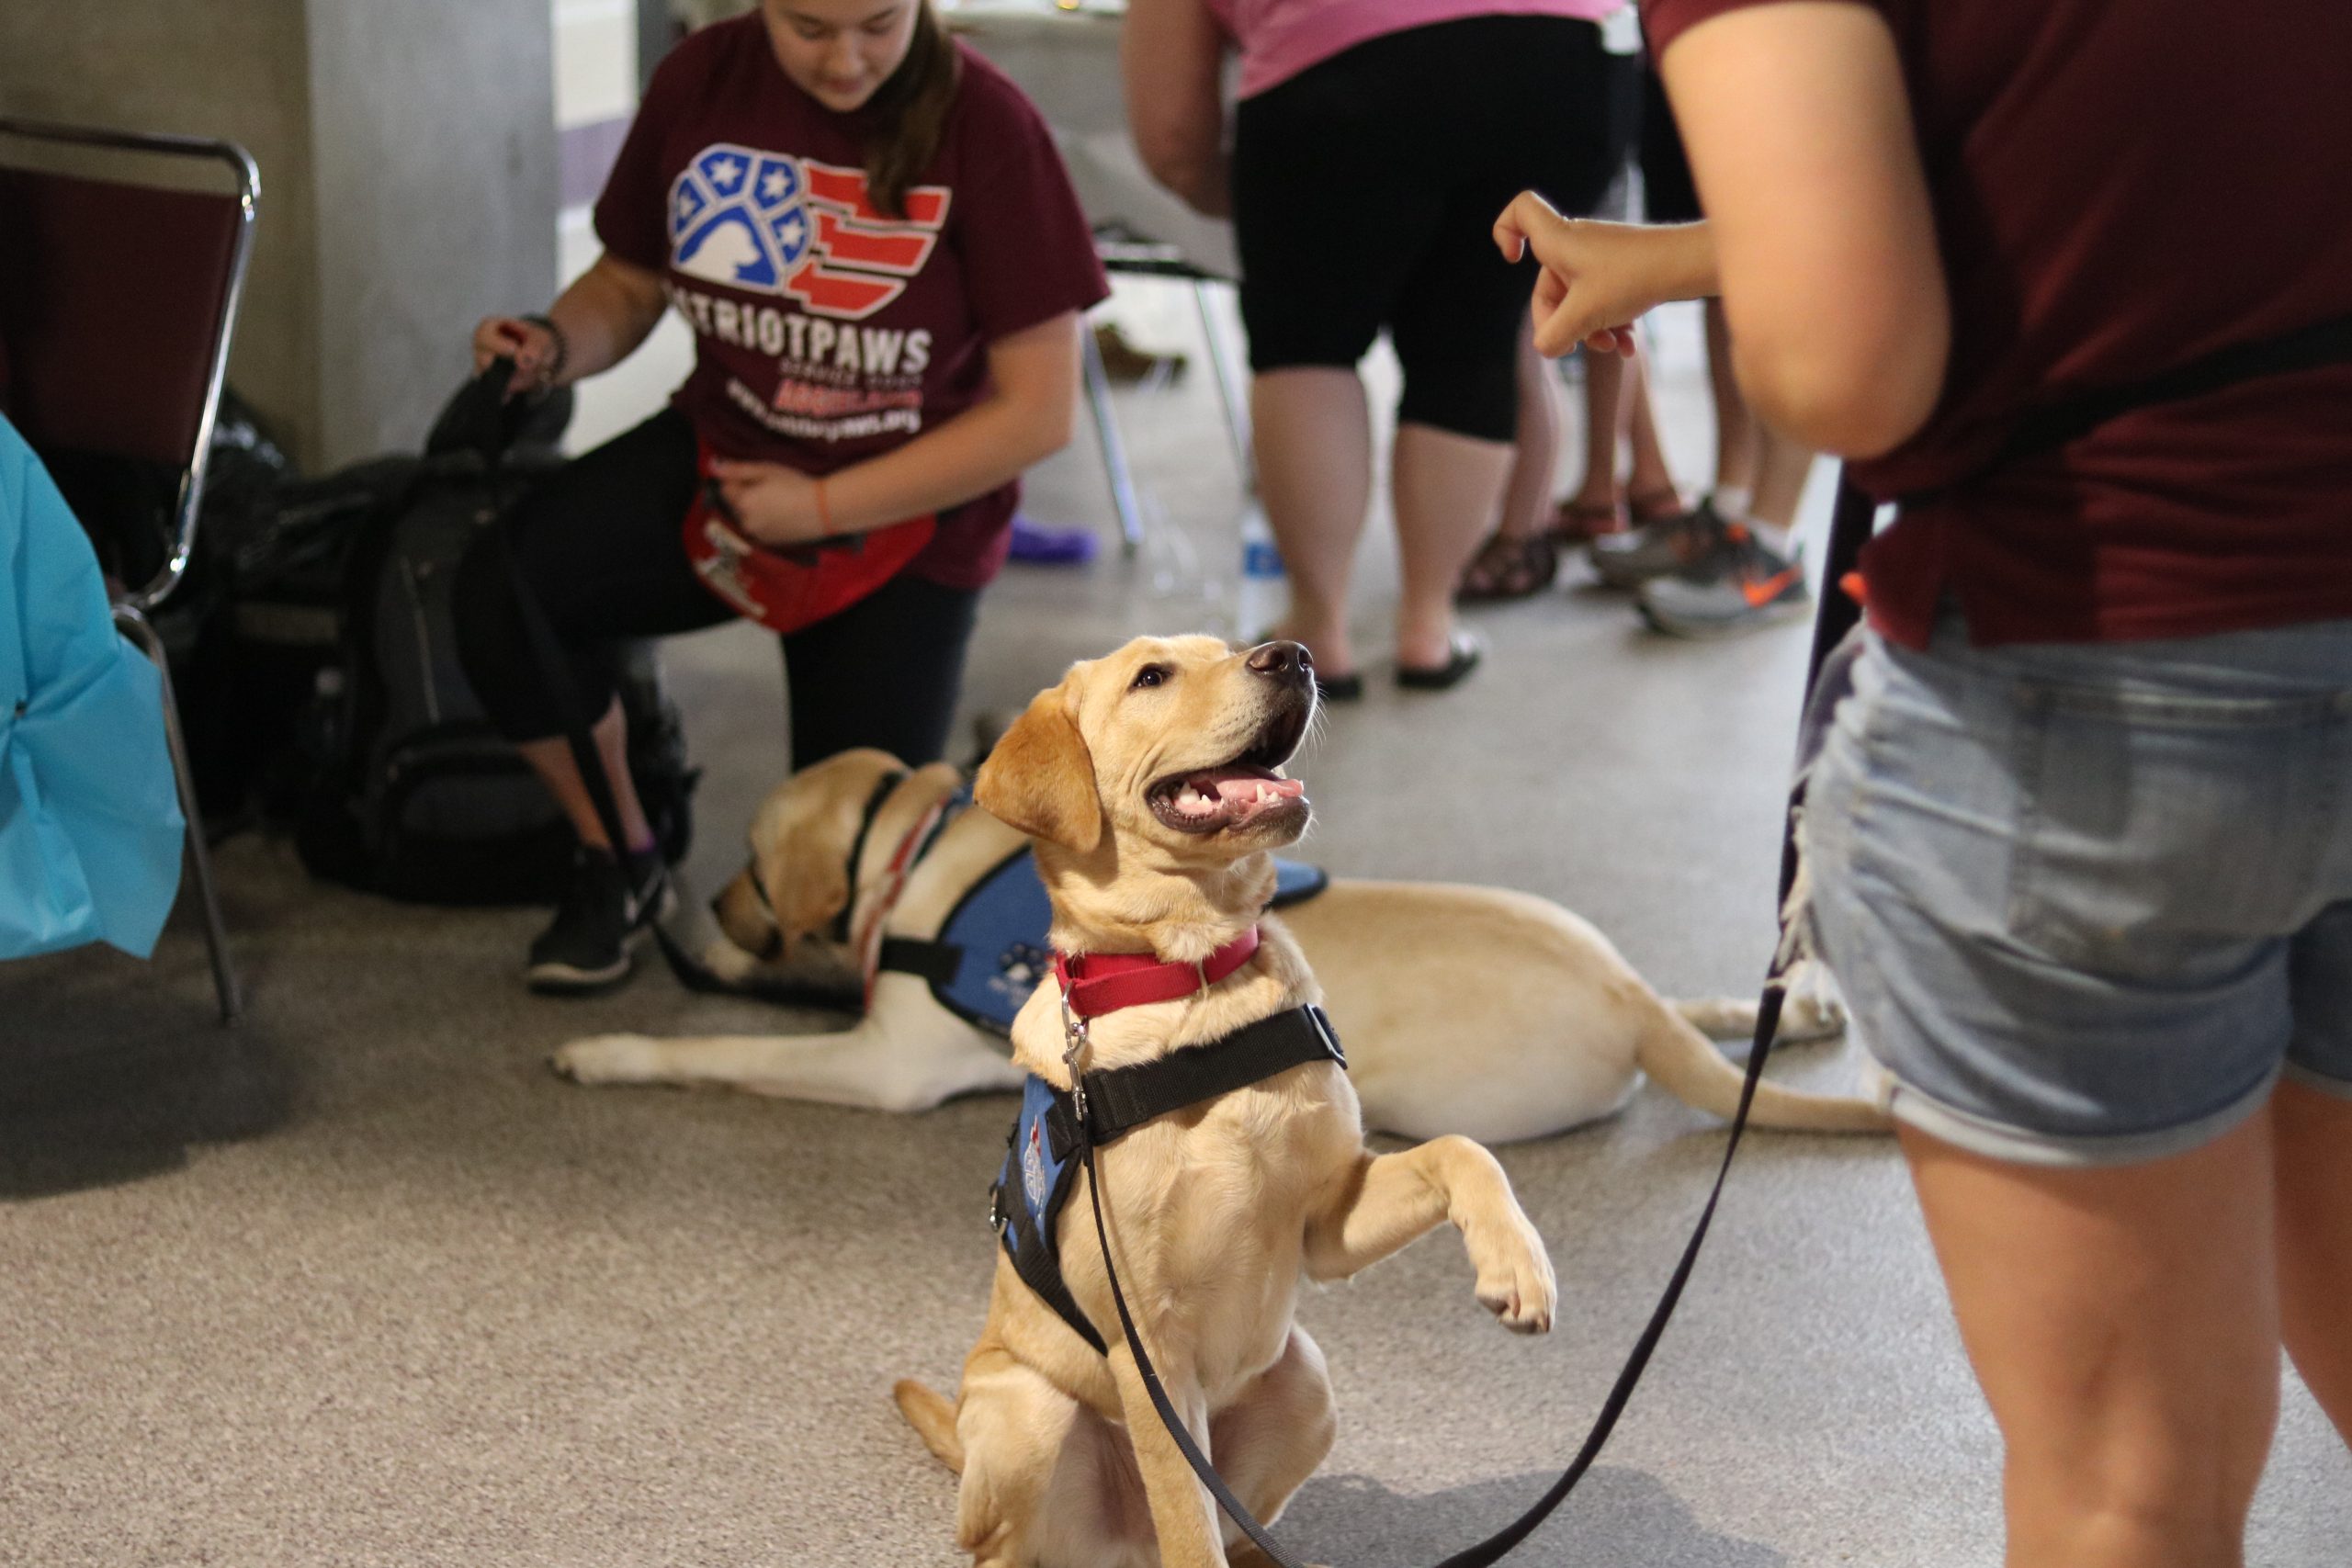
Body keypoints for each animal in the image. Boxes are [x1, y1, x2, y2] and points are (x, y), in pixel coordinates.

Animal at [893, 639, 1561, 1568]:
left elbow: (1463, 1149)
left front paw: (1517, 1265)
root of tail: (1123, 1547)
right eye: (1151, 677)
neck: (1194, 981)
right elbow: (1189, 1516)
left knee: (1242, 1529)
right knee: (1019, 1544)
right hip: (1032, 1414)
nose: (1295, 655)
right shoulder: (1148, 1346)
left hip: (1305, 1380)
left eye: (1232, 649)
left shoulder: (1326, 1225)